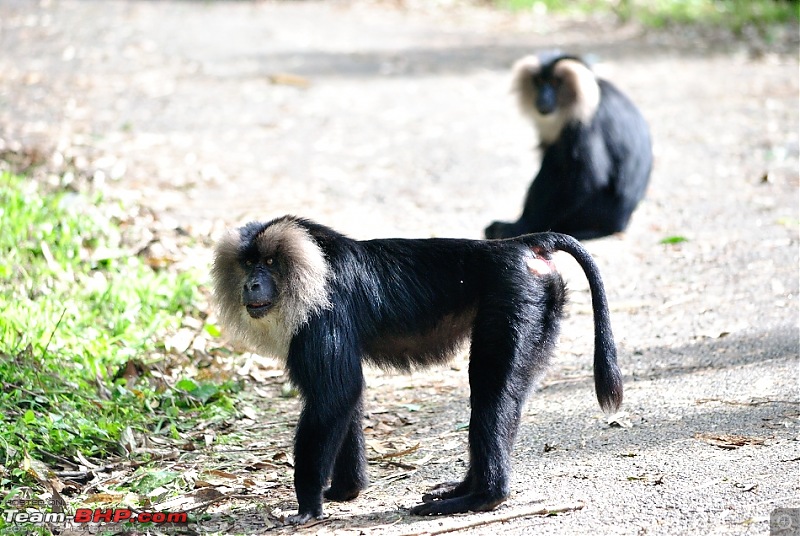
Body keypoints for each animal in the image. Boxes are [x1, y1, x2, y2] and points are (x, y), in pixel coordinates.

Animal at [212, 215, 624, 524]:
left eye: (269, 263)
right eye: (248, 263)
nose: (252, 284)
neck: (310, 266)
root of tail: (519, 245)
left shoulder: (319, 317)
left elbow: (336, 394)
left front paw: (309, 506)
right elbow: (347, 398)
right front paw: (345, 492)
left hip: (515, 299)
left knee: (489, 389)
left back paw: (483, 498)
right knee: (505, 397)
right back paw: (467, 488)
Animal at [484, 52, 652, 241]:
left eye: (555, 82)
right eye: (539, 81)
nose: (543, 98)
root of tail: (621, 222)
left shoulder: (585, 124)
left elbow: (587, 177)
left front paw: (522, 227)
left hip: (594, 212)